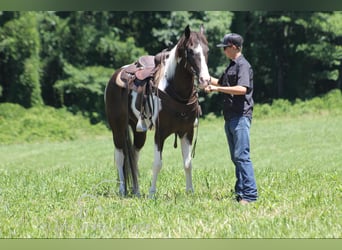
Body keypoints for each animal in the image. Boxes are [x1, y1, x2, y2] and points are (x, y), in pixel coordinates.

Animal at [104, 25, 211, 197]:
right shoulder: (160, 133)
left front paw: (190, 192)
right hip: (117, 128)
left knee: (134, 157)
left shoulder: (187, 132)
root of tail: (115, 76)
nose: (205, 80)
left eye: (207, 50)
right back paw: (122, 190)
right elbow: (157, 164)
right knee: (120, 156)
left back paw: (137, 191)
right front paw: (152, 194)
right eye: (190, 50)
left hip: (138, 130)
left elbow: (188, 163)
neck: (175, 91)